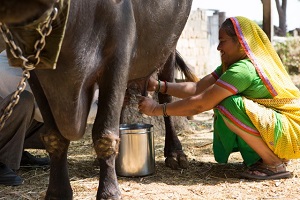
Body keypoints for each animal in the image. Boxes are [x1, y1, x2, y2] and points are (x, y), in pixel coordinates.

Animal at [0, 0, 195, 198]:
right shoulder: (35, 73)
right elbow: (54, 137)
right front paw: (58, 192)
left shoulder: (117, 60)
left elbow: (105, 134)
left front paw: (109, 192)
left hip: (169, 48)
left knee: (165, 97)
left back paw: (175, 153)